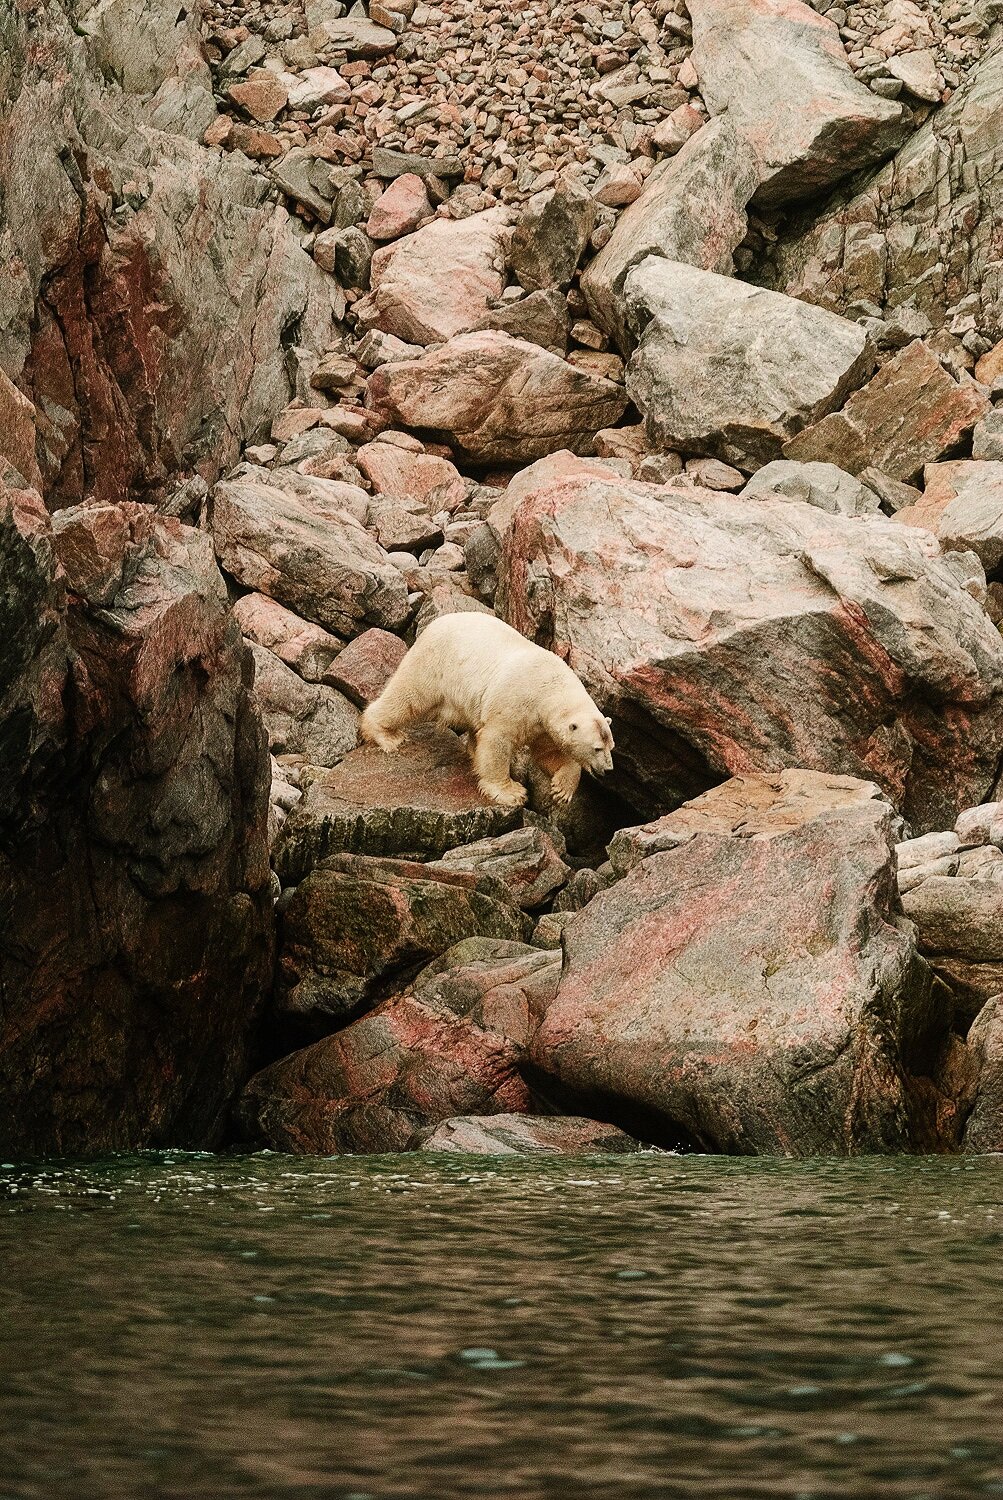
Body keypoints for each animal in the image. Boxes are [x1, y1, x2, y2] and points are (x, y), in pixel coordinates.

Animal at [355, 612, 614, 810]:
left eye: (611, 746)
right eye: (597, 748)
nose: (607, 769)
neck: (551, 685)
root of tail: (436, 623)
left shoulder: (542, 725)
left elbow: (549, 753)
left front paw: (562, 789)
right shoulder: (518, 701)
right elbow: (497, 740)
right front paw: (511, 792)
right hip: (435, 664)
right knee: (409, 696)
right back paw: (386, 735)